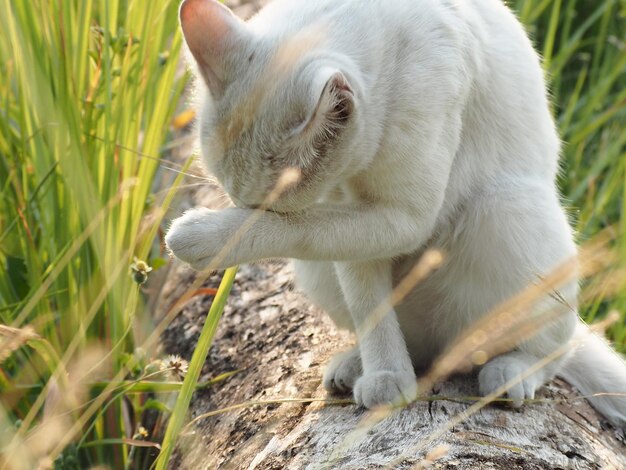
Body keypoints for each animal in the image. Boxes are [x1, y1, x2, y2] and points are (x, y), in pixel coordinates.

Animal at [165, 0, 624, 426]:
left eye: (267, 207)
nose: (243, 208)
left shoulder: (403, 217)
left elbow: (295, 227)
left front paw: (205, 235)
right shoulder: (351, 219)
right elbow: (367, 297)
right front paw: (387, 374)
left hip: (508, 208)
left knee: (555, 346)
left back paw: (514, 372)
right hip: (317, 270)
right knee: (416, 340)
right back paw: (359, 365)